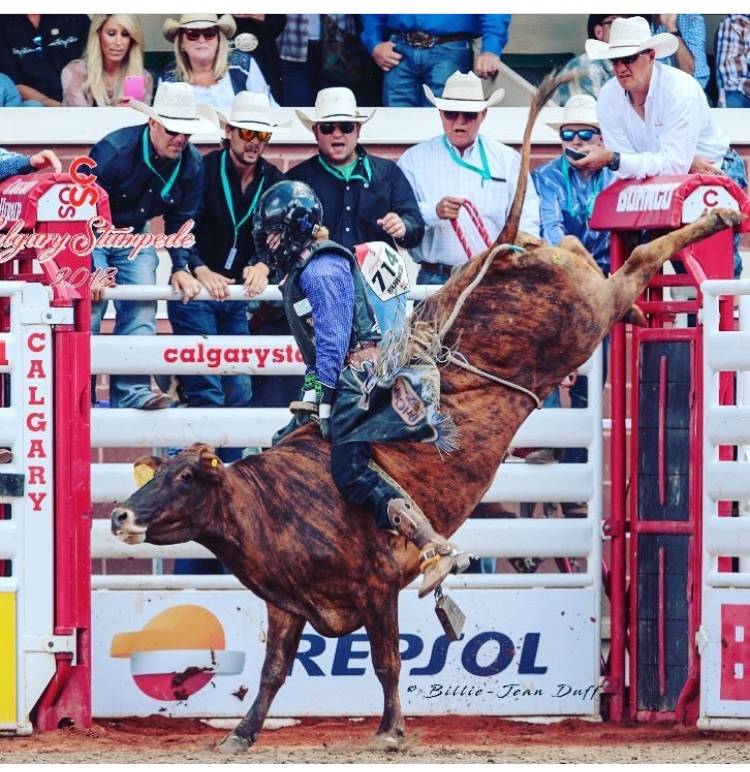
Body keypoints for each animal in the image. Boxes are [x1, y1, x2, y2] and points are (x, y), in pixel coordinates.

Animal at [110, 74, 748, 752]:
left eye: (183, 478)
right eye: (155, 474)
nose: (121, 514)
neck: (266, 505)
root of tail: (498, 252)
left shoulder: (377, 588)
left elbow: (388, 661)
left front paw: (390, 731)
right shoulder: (287, 605)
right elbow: (273, 670)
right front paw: (241, 734)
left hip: (588, 312)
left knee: (638, 261)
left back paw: (717, 214)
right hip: (578, 287)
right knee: (585, 246)